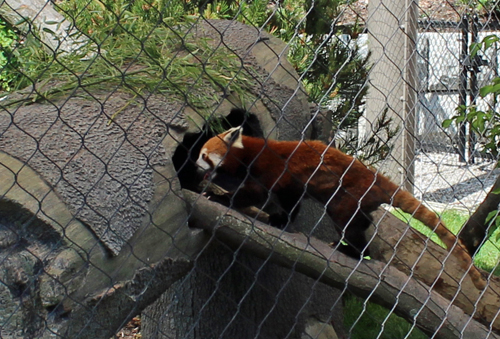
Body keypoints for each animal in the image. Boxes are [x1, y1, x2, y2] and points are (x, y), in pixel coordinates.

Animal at [196, 126, 488, 290]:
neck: (249, 152)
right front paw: (281, 219)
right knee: (362, 222)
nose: (195, 165)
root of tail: (375, 177)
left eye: (203, 155)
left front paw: (221, 199)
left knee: (349, 227)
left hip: (347, 198)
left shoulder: (269, 169)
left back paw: (352, 250)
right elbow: (290, 200)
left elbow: (256, 193)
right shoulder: (288, 184)